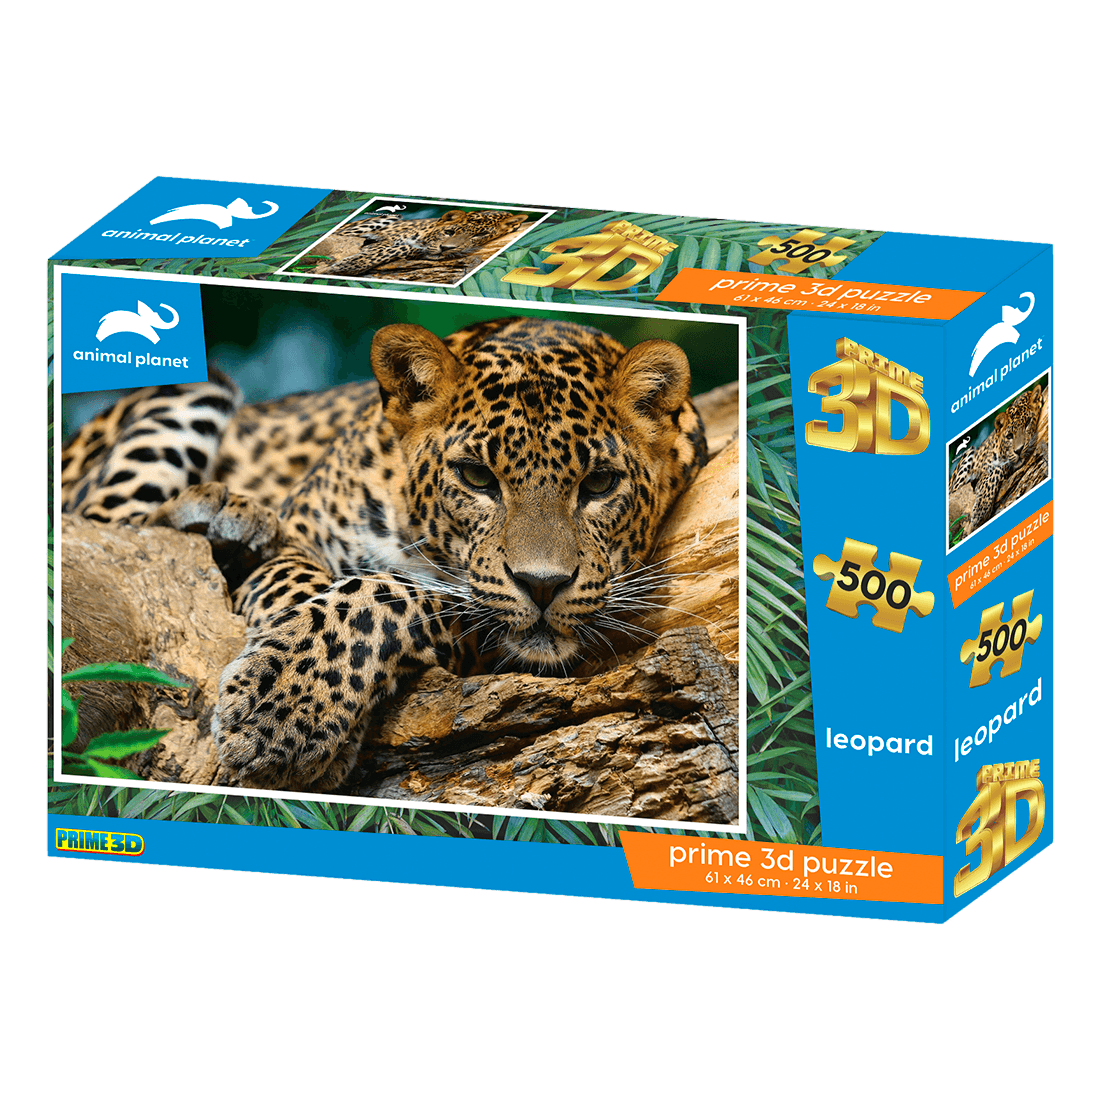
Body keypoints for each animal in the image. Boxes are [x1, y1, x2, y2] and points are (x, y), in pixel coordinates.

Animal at [61, 317, 709, 793]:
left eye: (599, 484)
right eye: (476, 477)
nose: (543, 584)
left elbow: (385, 594)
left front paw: (283, 711)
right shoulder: (298, 534)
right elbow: (311, 591)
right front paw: (284, 704)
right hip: (193, 389)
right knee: (102, 527)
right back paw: (218, 511)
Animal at [949, 382, 1045, 536]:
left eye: (1028, 423)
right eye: (1009, 436)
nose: (1019, 450)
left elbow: (998, 469)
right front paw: (981, 508)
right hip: (967, 454)